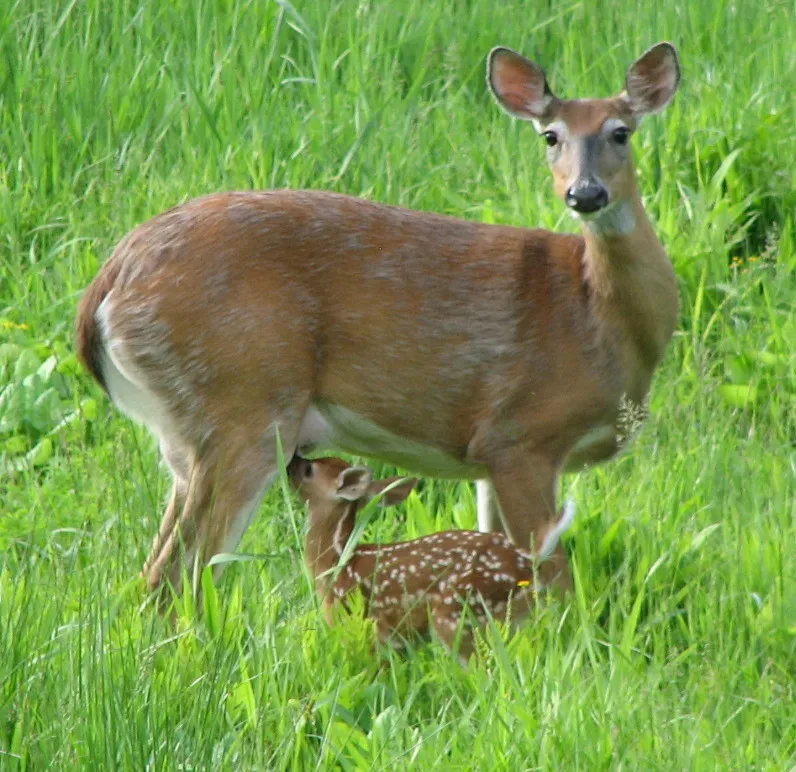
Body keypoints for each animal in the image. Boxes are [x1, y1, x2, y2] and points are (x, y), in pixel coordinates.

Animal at [75, 42, 681, 601]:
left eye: (621, 132)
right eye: (550, 136)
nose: (585, 193)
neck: (598, 319)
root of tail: (107, 289)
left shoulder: (489, 456)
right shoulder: (520, 434)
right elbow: (552, 579)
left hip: (185, 435)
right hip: (242, 404)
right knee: (176, 573)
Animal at [288, 454, 576, 664]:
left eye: (309, 470)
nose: (293, 459)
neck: (336, 561)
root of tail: (527, 563)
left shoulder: (355, 622)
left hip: (460, 614)